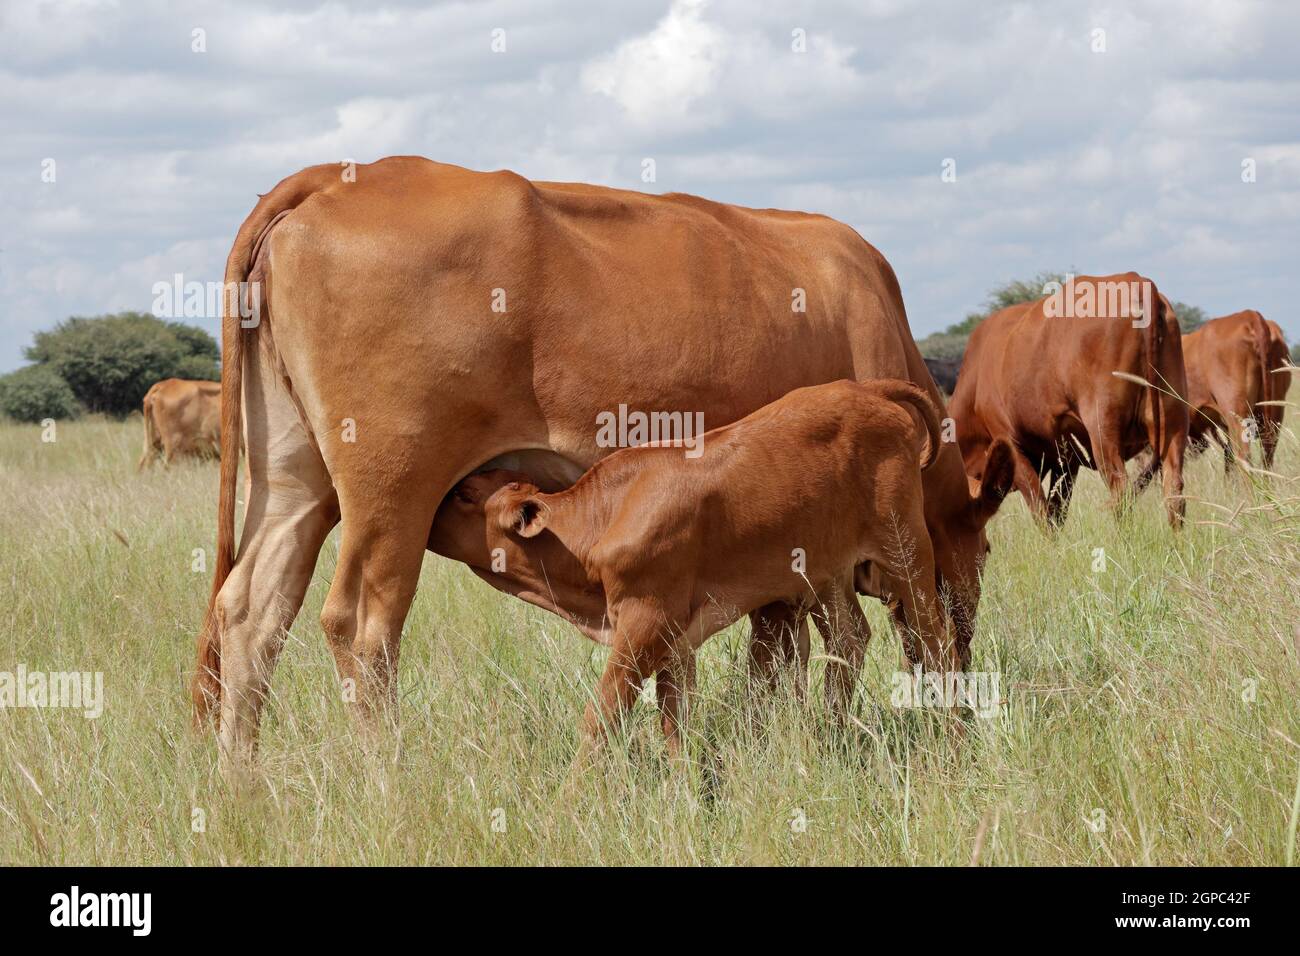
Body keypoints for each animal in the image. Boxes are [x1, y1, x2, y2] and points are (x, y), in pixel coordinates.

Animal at [426, 379, 955, 757]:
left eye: (466, 494)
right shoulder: (674, 644)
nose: (428, 517)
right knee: (850, 639)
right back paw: (833, 733)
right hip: (827, 573)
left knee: (937, 640)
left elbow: (602, 718)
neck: (603, 518)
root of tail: (865, 389)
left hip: (906, 551)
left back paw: (953, 733)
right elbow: (674, 726)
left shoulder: (643, 625)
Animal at [948, 273, 1188, 529]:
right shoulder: (1065, 457)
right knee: (1174, 492)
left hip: (1103, 431)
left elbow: (1041, 511)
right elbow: (1057, 510)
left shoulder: (1010, 441)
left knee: (1121, 492)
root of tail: (1137, 281)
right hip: (1173, 423)